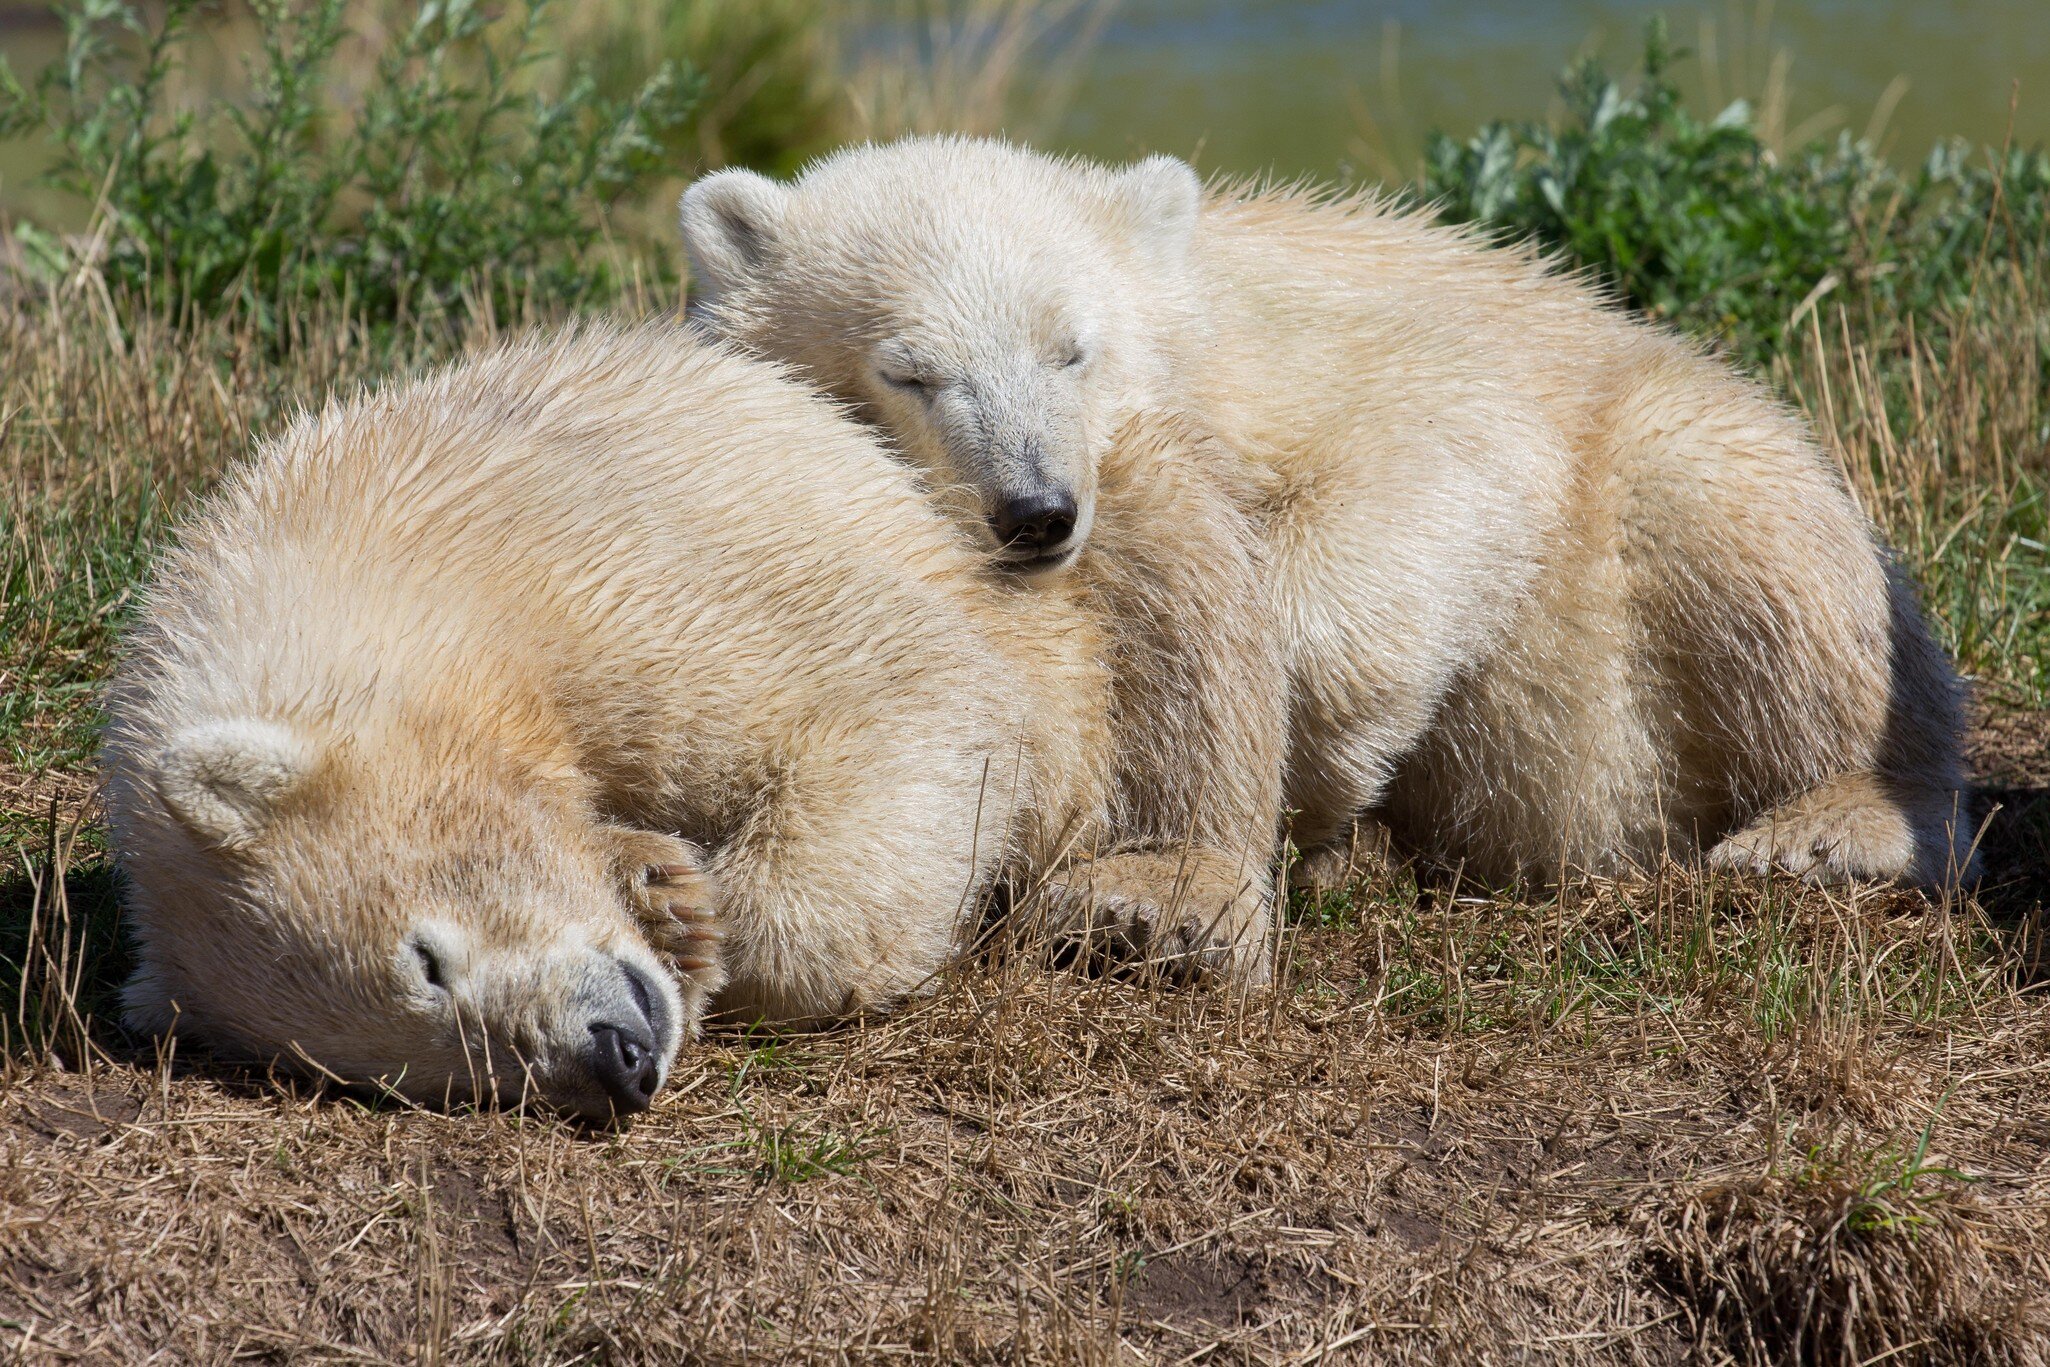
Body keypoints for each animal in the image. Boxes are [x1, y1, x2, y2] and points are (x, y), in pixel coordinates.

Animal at [101, 323, 1283, 1121]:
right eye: (424, 1071)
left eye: (424, 958)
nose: (610, 1059)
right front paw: (656, 883)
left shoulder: (603, 566)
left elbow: (901, 685)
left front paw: (703, 923)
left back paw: (1154, 903)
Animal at [678, 135, 1975, 890]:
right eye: (908, 370)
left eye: (1071, 348)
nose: (1034, 510)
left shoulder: (1291, 351)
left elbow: (1439, 443)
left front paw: (1310, 759)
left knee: (1727, 510)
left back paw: (1824, 824)